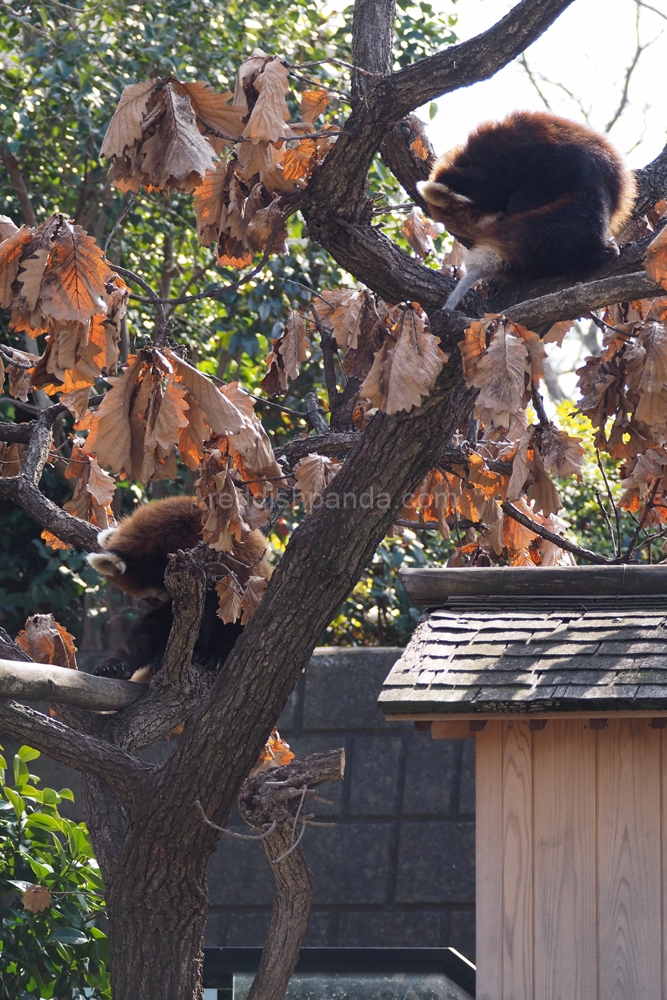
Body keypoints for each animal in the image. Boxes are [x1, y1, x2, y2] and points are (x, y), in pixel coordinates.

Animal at [87, 498, 272, 684]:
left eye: (151, 599)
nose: (153, 604)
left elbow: (205, 613)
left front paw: (197, 652)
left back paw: (213, 655)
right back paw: (115, 667)